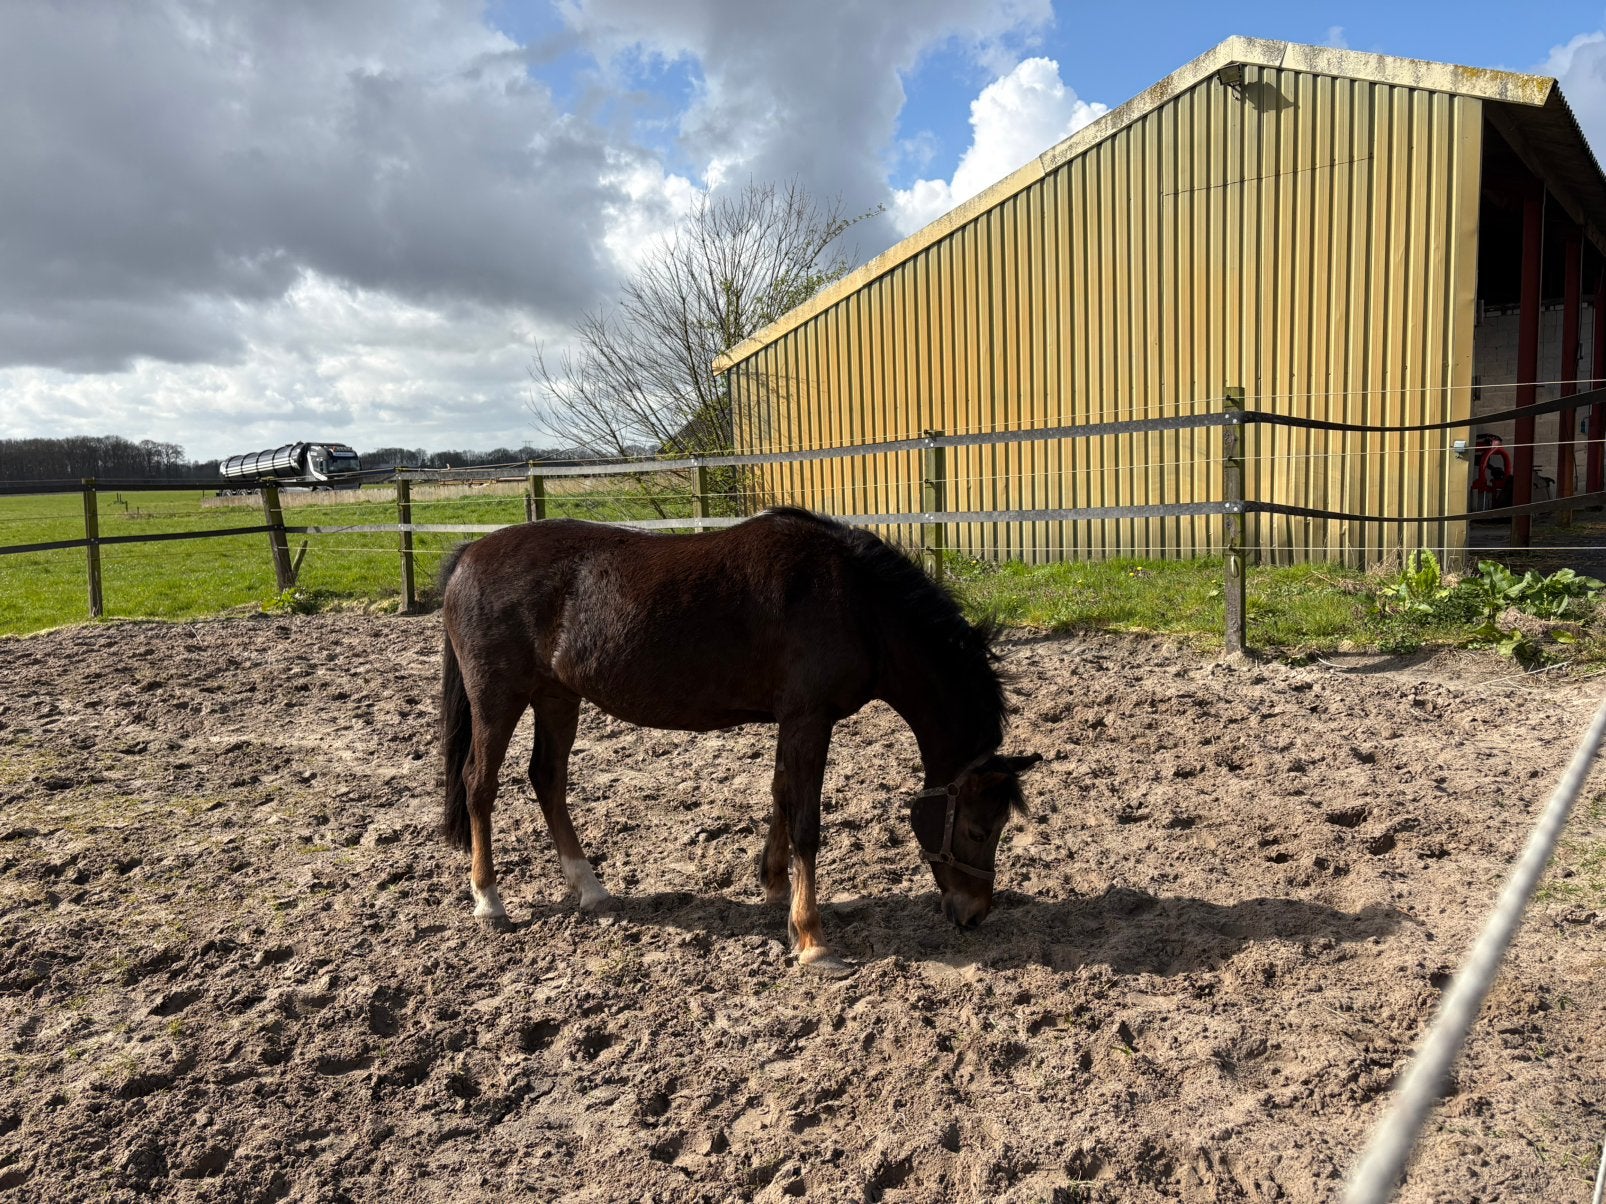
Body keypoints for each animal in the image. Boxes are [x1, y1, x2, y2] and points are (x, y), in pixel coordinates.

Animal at [437, 507, 1040, 976]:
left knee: (548, 779)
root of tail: (468, 556)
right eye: (978, 828)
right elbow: (806, 822)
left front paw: (774, 886)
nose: (974, 913)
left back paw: (589, 887)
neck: (858, 603)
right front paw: (812, 939)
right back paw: (488, 900)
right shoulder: (809, 718)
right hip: (498, 699)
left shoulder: (792, 719)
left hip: (557, 697)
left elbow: (781, 795)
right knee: (480, 785)